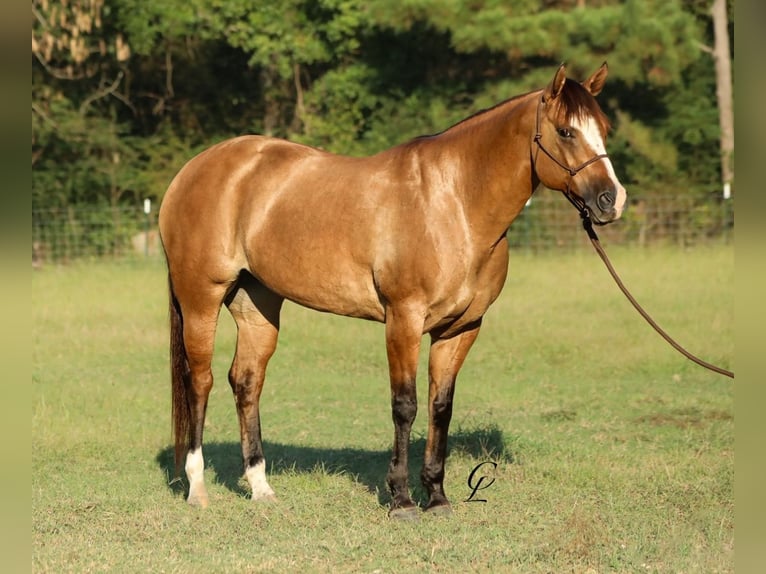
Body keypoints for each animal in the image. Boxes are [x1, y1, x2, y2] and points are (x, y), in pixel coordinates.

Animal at [159, 63, 628, 520]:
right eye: (566, 131)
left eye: (604, 127)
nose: (612, 200)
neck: (454, 204)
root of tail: (192, 170)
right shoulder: (403, 319)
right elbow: (405, 405)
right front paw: (401, 500)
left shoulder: (461, 329)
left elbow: (441, 407)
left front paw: (436, 497)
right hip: (201, 298)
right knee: (200, 380)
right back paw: (198, 490)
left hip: (256, 303)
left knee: (246, 381)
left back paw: (261, 489)